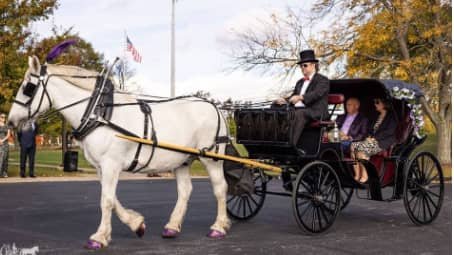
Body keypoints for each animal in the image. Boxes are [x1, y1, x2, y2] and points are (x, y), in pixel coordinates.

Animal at [7, 55, 231, 249]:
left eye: (28, 88)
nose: (10, 121)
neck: (99, 112)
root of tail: (215, 107)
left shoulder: (111, 164)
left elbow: (106, 201)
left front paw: (99, 237)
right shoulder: (101, 167)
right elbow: (112, 199)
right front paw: (136, 224)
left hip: (212, 159)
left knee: (220, 188)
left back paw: (219, 226)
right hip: (182, 160)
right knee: (185, 191)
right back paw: (172, 227)